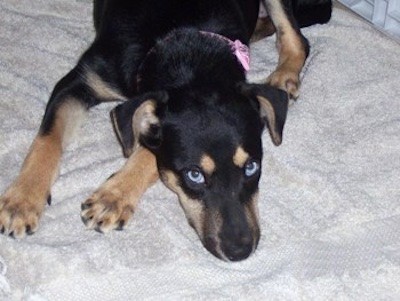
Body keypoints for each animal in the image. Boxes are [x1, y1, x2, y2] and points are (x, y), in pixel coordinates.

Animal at [0, 0, 332, 258]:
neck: (184, 45)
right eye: (194, 176)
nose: (240, 251)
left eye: (252, 167)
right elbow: (47, 140)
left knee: (296, 37)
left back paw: (285, 75)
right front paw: (22, 201)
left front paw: (113, 197)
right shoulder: (78, 82)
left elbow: (150, 149)